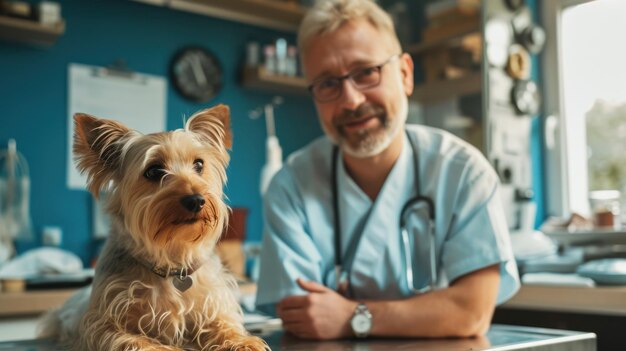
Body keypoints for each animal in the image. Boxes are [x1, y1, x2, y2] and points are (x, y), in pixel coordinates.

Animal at [39, 105, 268, 351]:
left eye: (199, 164)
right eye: (153, 171)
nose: (196, 200)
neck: (171, 259)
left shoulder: (213, 306)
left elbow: (224, 324)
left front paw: (243, 342)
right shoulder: (101, 324)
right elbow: (132, 339)